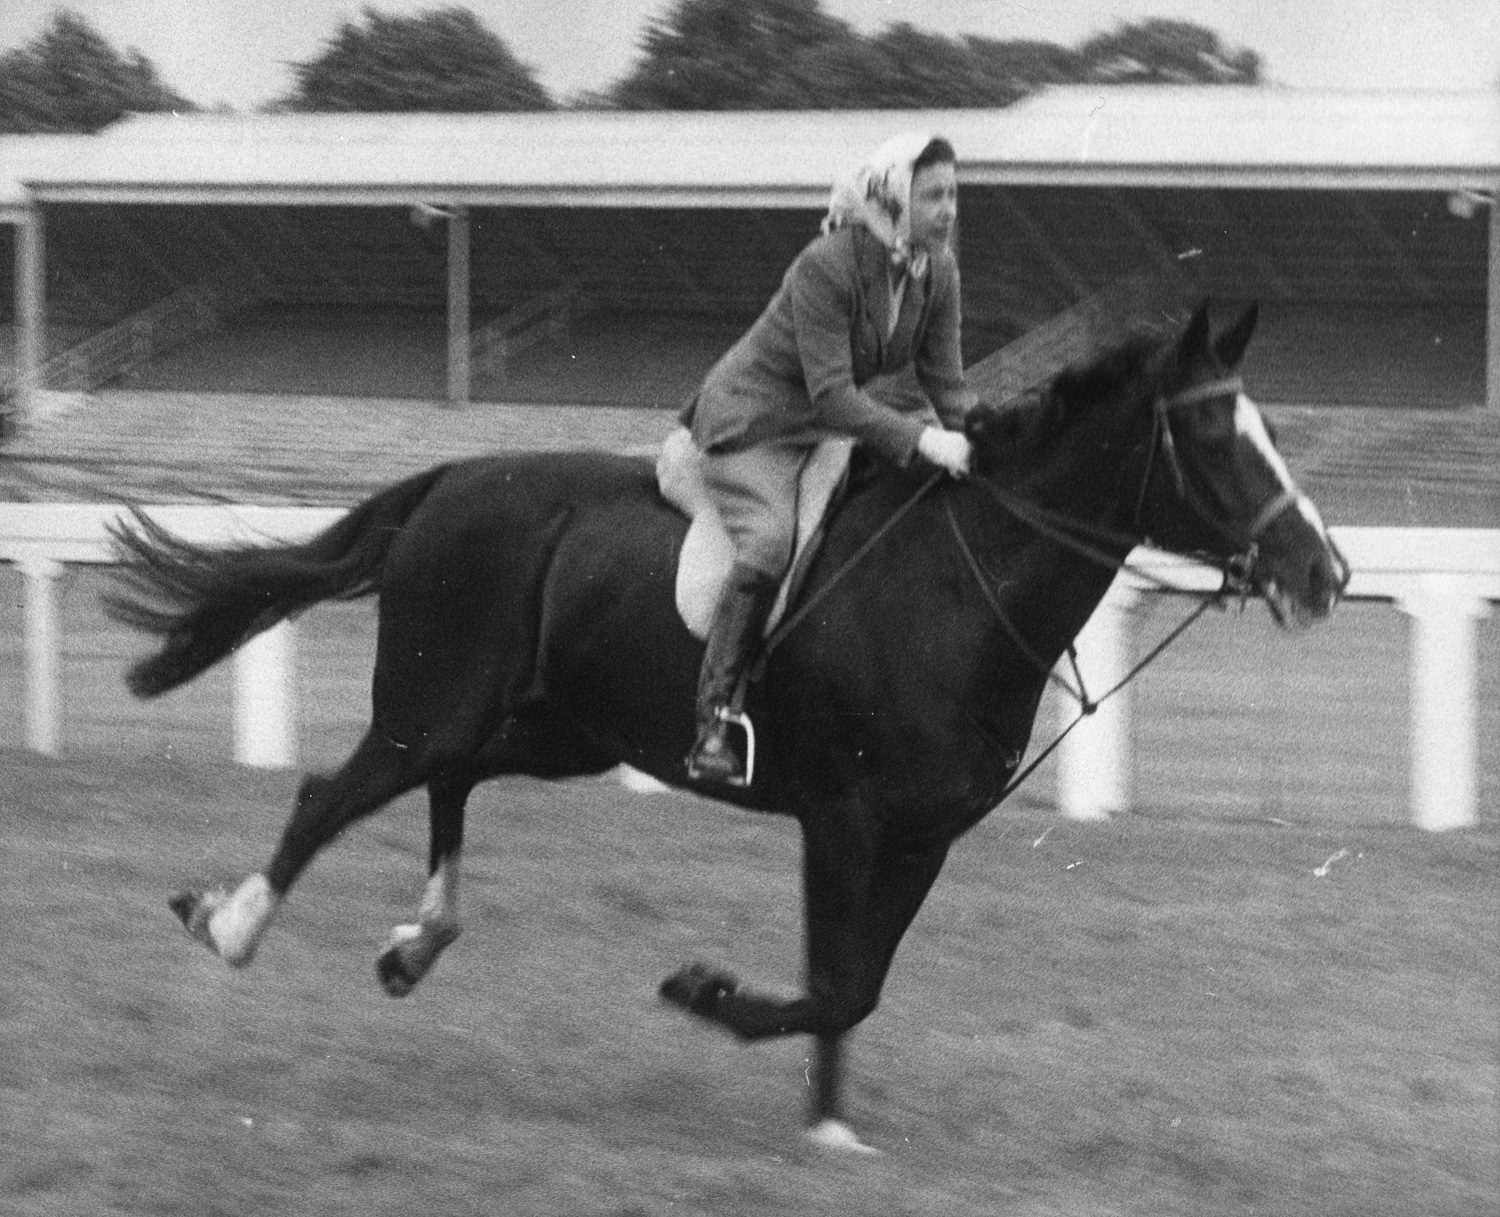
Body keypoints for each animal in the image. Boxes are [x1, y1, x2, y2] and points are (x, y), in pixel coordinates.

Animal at [105, 301, 1350, 1152]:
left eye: (1268, 428)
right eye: (1220, 438)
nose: (1325, 572)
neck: (955, 586)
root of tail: (447, 480)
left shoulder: (922, 834)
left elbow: (859, 982)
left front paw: (827, 1120)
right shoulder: (841, 816)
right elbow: (835, 979)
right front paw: (705, 991)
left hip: (547, 730)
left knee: (449, 788)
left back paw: (418, 939)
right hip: (431, 708)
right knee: (332, 794)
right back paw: (230, 923)